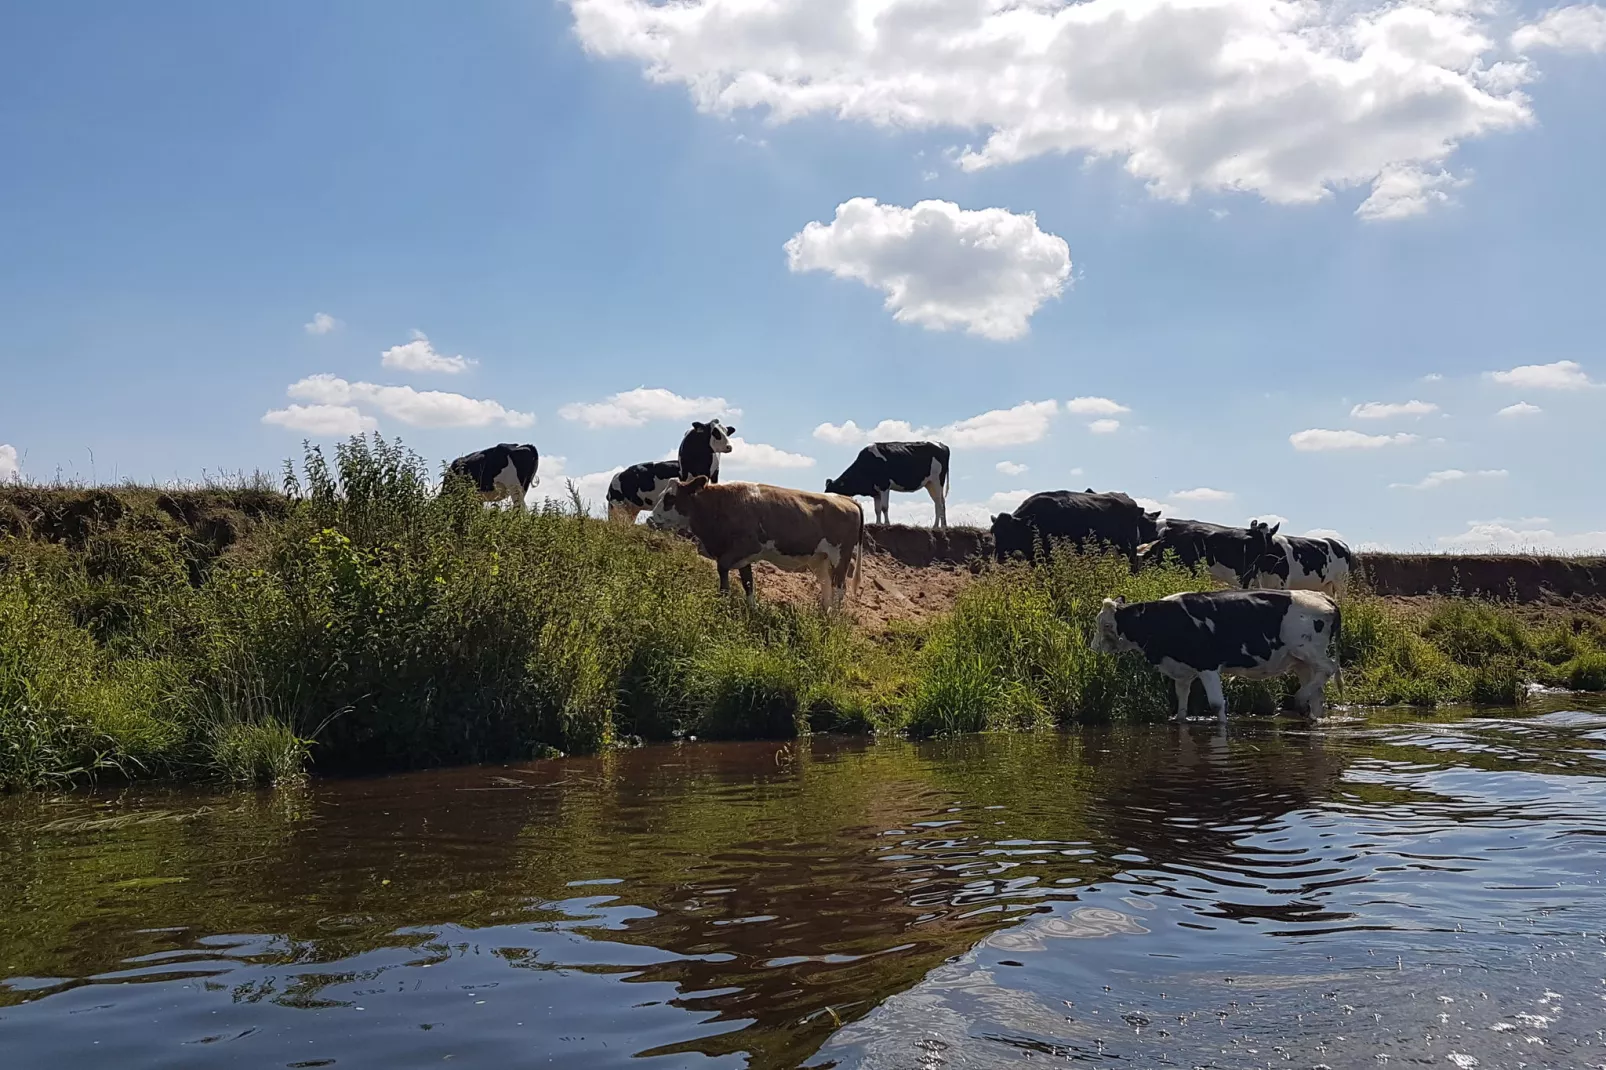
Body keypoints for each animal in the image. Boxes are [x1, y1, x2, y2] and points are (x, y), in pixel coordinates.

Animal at [1092, 588, 1342, 719]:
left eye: (1107, 625)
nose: (1094, 648)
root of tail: (1322, 596)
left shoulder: (1207, 664)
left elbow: (1216, 704)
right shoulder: (1182, 671)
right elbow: (1181, 706)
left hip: (1308, 650)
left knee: (1329, 667)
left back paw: (1298, 698)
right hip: (1300, 661)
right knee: (1317, 692)